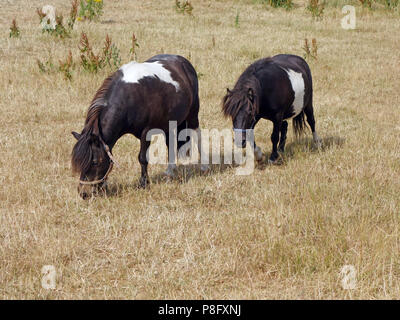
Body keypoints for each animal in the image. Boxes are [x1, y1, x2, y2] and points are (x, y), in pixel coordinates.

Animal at [72, 55, 208, 200]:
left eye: (95, 162)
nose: (84, 193)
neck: (129, 98)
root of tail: (183, 61)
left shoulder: (146, 132)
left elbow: (142, 158)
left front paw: (144, 183)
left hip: (193, 114)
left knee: (198, 136)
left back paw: (204, 167)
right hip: (169, 123)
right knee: (170, 144)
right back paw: (169, 172)